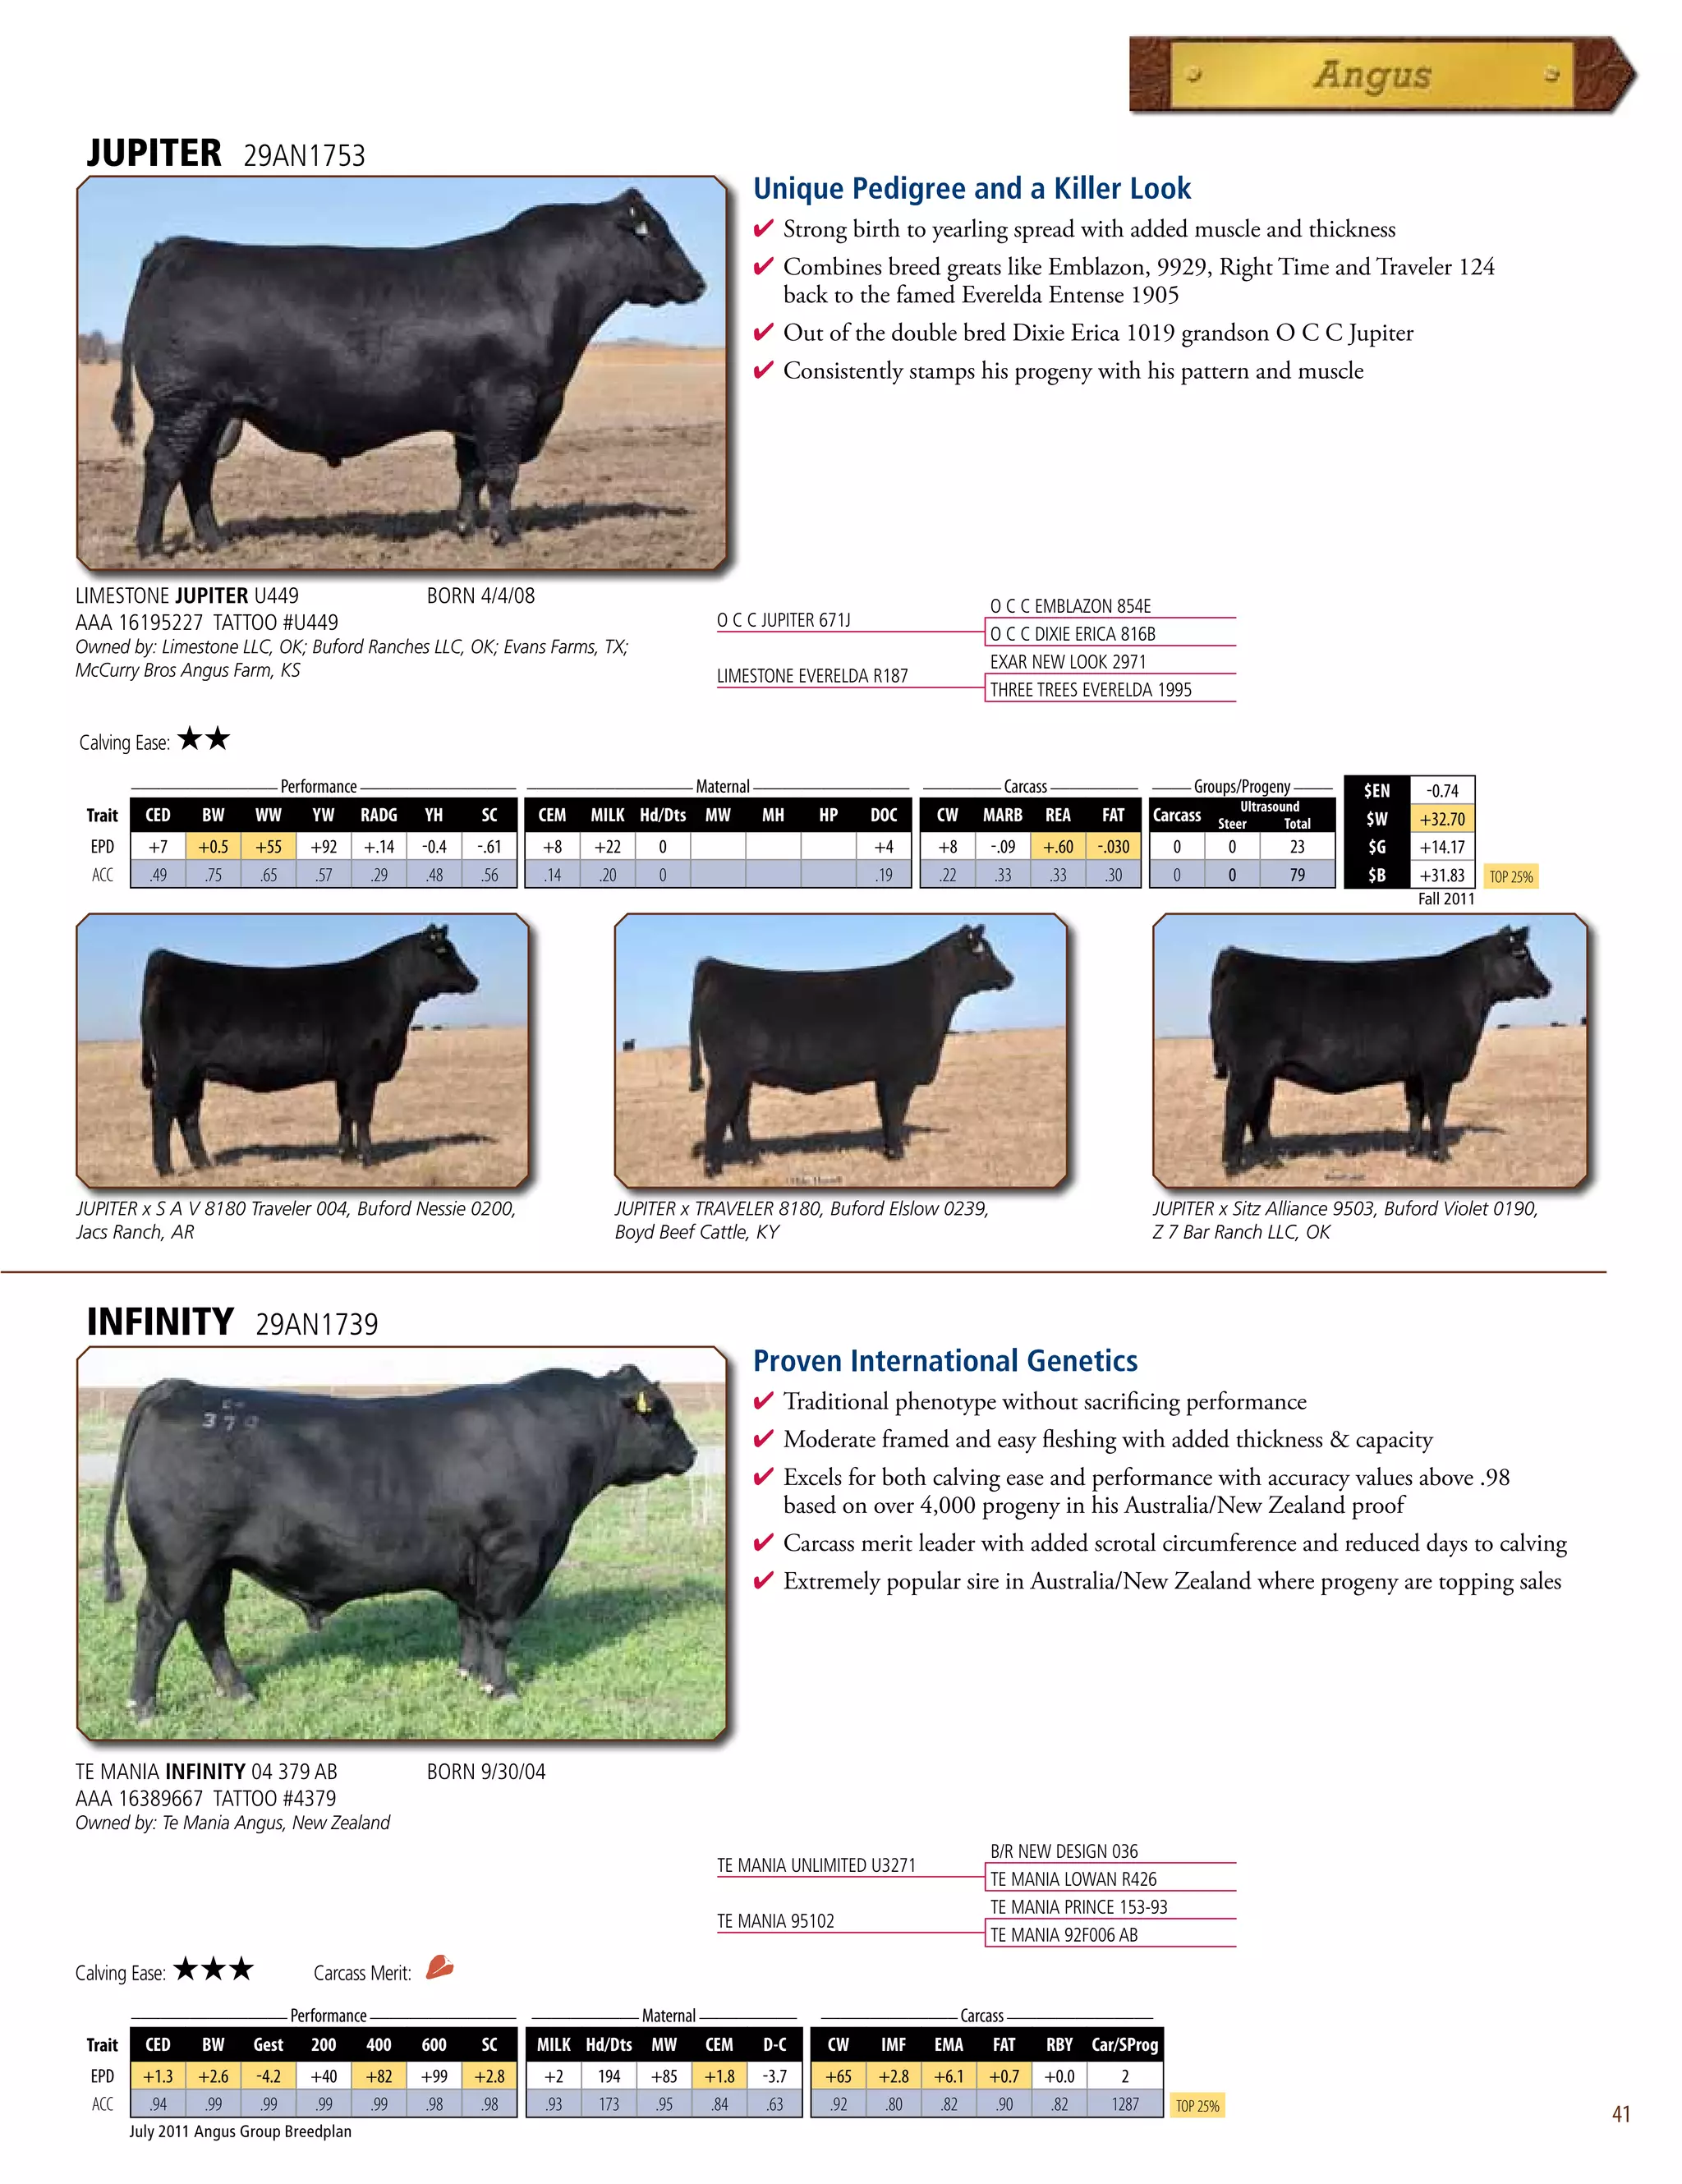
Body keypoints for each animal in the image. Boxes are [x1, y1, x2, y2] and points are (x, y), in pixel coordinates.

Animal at [101, 1365, 698, 1720]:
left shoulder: (469, 1561)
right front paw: (502, 1689)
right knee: (157, 1622)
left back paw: (239, 1691)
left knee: (206, 1622)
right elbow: (499, 1627)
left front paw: (468, 1673)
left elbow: (470, 1621)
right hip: (179, 1559)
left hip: (212, 1565)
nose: (692, 1453)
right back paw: (144, 1706)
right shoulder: (513, 1554)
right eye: (662, 1414)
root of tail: (184, 1387)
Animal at [110, 189, 706, 556]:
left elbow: (472, 473)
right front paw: (508, 537)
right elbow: (503, 473)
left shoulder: (476, 415)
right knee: (165, 464)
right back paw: (150, 546)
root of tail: (178, 247)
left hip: (218, 410)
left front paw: (467, 529)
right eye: (655, 235)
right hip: (186, 403)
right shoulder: (509, 398)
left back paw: (214, 542)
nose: (699, 282)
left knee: (197, 472)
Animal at [139, 924, 479, 1175]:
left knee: (189, 1113)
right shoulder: (364, 1068)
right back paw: (166, 1169)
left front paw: (346, 1155)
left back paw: (204, 1165)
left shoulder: (345, 1072)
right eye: (443, 951)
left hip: (194, 1074)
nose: (473, 980)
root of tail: (167, 958)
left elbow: (345, 1111)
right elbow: (363, 1113)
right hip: (175, 1069)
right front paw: (369, 1159)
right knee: (163, 1109)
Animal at [687, 924, 1015, 1174]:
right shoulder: (900, 1072)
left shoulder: (884, 1074)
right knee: (716, 1114)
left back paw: (754, 1161)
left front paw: (889, 1151)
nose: (1009, 976)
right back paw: (714, 1170)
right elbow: (896, 1112)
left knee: (738, 1116)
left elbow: (886, 1114)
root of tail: (716, 966)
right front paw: (898, 1155)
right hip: (728, 1072)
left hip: (744, 1075)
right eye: (984, 952)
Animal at [1208, 924, 1552, 1174]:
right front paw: (1441, 1155)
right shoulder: (1439, 1068)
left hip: (1265, 1071)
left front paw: (1414, 1151)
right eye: (1521, 954)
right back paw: (1233, 1167)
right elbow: (1438, 1111)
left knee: (1259, 1112)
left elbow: (1417, 1109)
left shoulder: (1415, 1071)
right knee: (1237, 1108)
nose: (1547, 985)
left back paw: (1272, 1162)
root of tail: (1237, 956)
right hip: (1249, 1067)